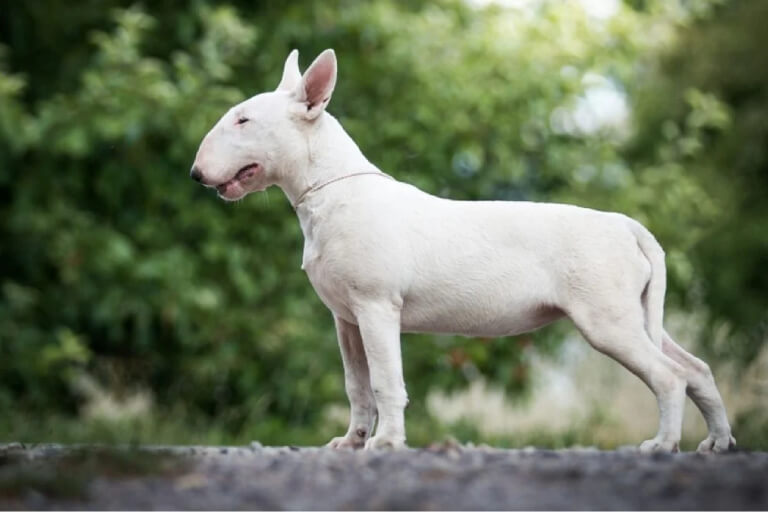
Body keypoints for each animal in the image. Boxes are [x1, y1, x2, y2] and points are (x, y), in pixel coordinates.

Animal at [189, 50, 736, 454]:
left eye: (243, 120)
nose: (195, 174)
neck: (331, 190)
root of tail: (627, 226)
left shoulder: (376, 307)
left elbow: (386, 381)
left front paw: (387, 444)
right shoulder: (346, 319)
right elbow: (356, 386)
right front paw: (351, 441)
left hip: (607, 321)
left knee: (668, 376)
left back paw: (662, 446)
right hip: (635, 315)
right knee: (696, 369)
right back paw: (716, 442)